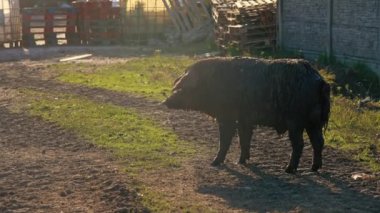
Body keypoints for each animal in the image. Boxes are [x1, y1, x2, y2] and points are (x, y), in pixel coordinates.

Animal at [163, 57, 330, 173]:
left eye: (182, 88)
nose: (165, 101)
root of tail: (320, 81)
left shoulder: (227, 117)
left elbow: (225, 140)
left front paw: (214, 163)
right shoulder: (245, 120)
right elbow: (244, 139)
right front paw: (241, 162)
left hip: (295, 122)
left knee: (299, 144)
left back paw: (288, 170)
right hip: (313, 123)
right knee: (318, 142)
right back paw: (314, 168)